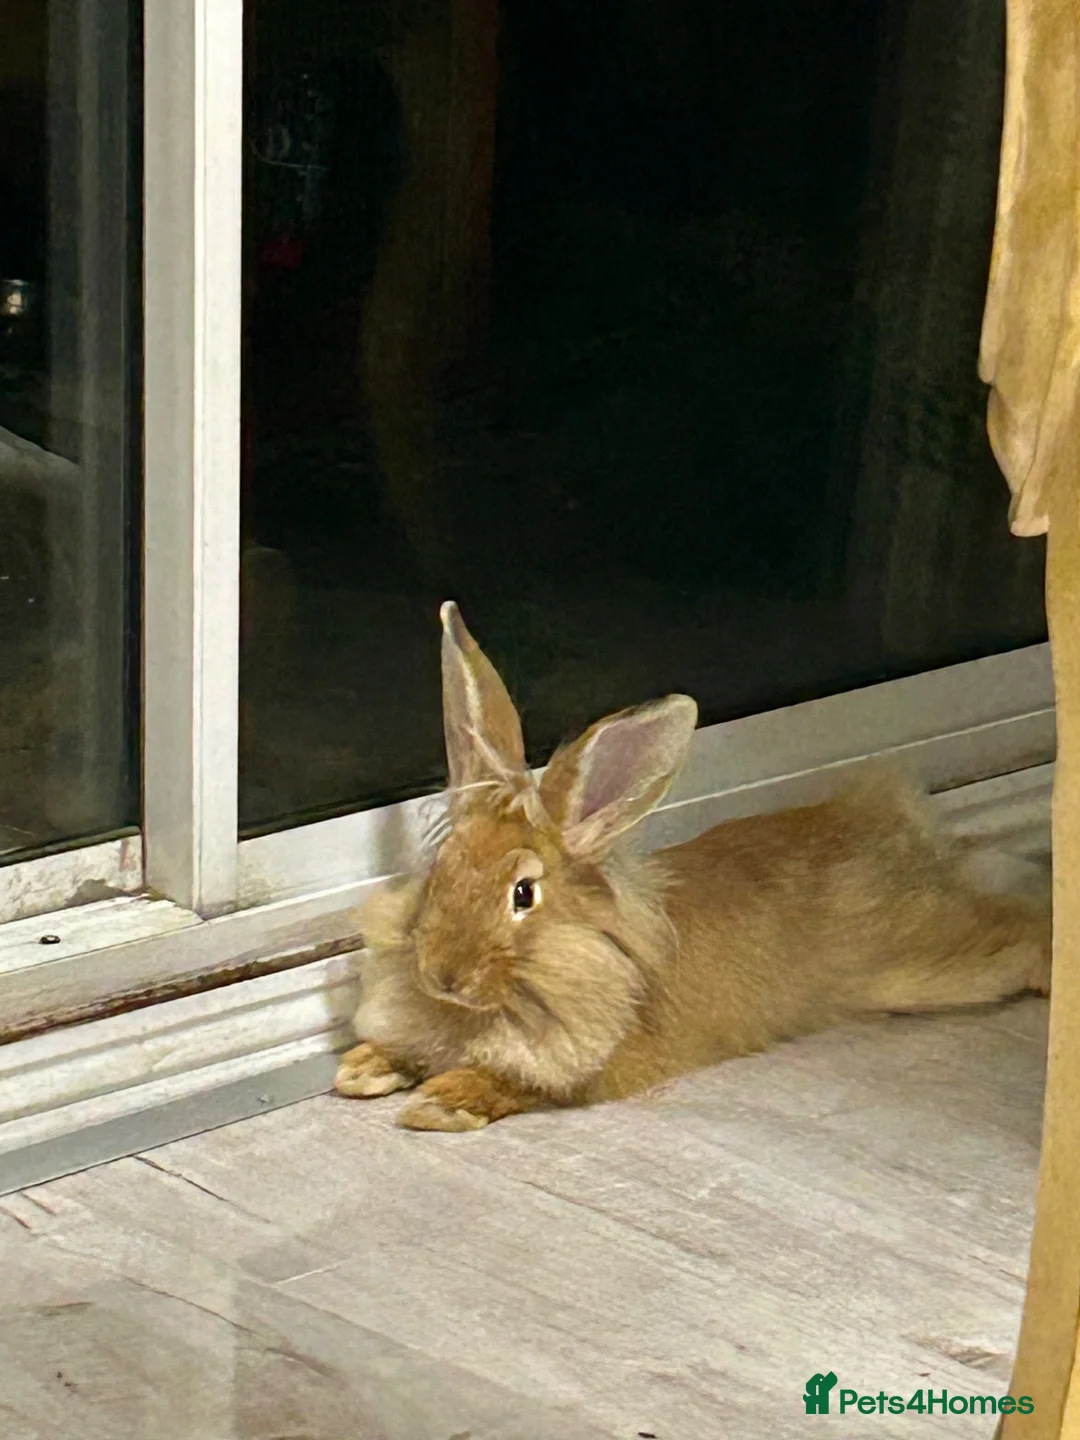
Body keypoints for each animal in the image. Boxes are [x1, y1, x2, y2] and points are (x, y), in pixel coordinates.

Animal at [334, 601, 1051, 1131]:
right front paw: (362, 1068)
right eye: (443, 871)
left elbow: (522, 1084)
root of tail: (894, 822)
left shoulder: (597, 1064)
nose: (443, 977)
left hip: (928, 964)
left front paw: (440, 1102)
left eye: (523, 895)